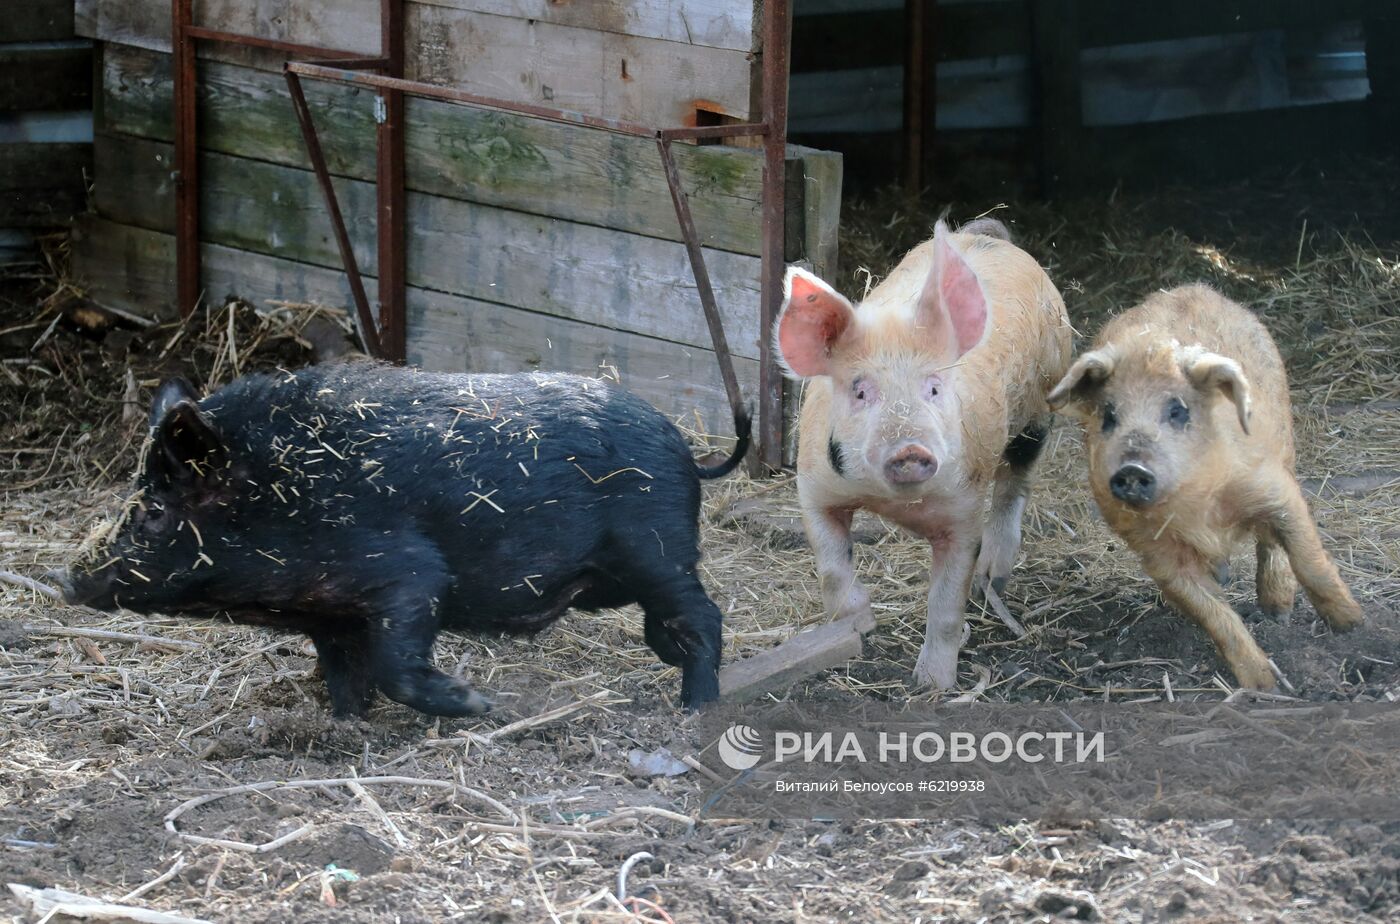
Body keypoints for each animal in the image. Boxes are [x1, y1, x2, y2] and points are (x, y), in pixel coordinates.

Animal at [56, 361, 750, 714]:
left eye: (153, 512)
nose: (65, 576)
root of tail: (687, 451)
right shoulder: (328, 611)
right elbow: (341, 670)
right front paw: (346, 724)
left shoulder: (409, 576)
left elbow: (396, 663)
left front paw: (483, 705)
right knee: (668, 627)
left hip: (657, 551)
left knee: (704, 616)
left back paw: (696, 708)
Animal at [778, 219, 1069, 688]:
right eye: (860, 391)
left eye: (933, 387)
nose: (910, 449)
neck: (894, 504)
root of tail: (992, 238)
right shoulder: (814, 488)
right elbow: (832, 569)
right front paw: (861, 625)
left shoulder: (964, 509)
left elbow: (947, 605)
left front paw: (932, 684)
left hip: (1042, 403)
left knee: (1015, 483)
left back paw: (993, 578)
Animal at [1047, 285, 1360, 688]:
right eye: (1109, 415)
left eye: (1178, 410)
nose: (1132, 467)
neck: (1197, 510)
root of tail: (1195, 287)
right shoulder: (1155, 552)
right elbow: (1212, 612)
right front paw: (1262, 685)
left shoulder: (1274, 488)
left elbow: (1309, 559)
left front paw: (1353, 626)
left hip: (1287, 445)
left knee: (1271, 543)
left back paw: (1277, 611)